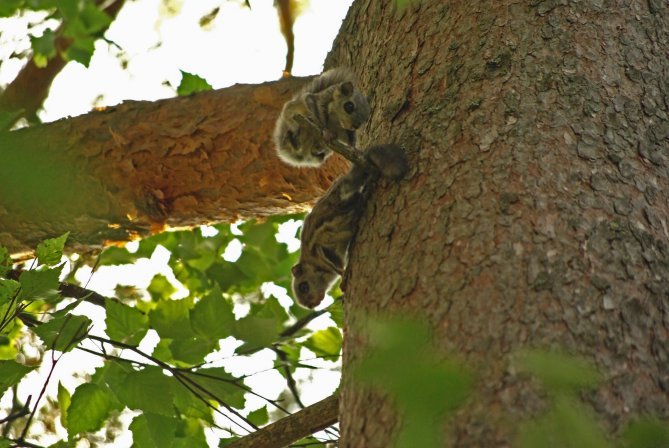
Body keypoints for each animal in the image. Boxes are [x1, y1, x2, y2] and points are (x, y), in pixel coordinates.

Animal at [290, 144, 408, 308]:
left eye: (303, 287)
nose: (312, 305)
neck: (313, 264)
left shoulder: (321, 251)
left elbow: (337, 265)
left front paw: (343, 278)